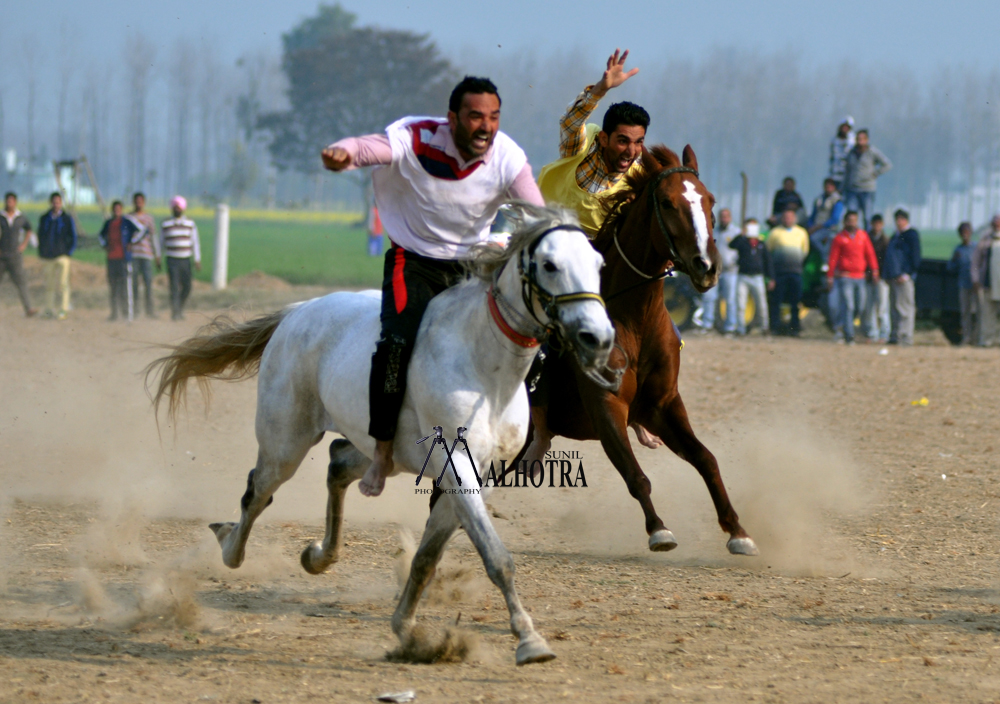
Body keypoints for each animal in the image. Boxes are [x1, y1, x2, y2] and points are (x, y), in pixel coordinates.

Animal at [148, 204, 616, 664]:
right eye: (549, 264)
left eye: (598, 264)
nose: (598, 337)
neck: (485, 367)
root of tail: (298, 310)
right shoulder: (457, 467)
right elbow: (496, 557)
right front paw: (528, 640)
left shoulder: (474, 476)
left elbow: (428, 556)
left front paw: (406, 629)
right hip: (286, 442)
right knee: (258, 492)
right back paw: (230, 546)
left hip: (377, 451)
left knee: (338, 462)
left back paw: (319, 555)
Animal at [516, 144, 756, 556]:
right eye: (668, 202)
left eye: (709, 200)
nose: (707, 267)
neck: (633, 320)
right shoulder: (605, 405)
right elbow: (634, 474)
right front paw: (659, 530)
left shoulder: (663, 405)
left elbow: (705, 458)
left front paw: (737, 530)